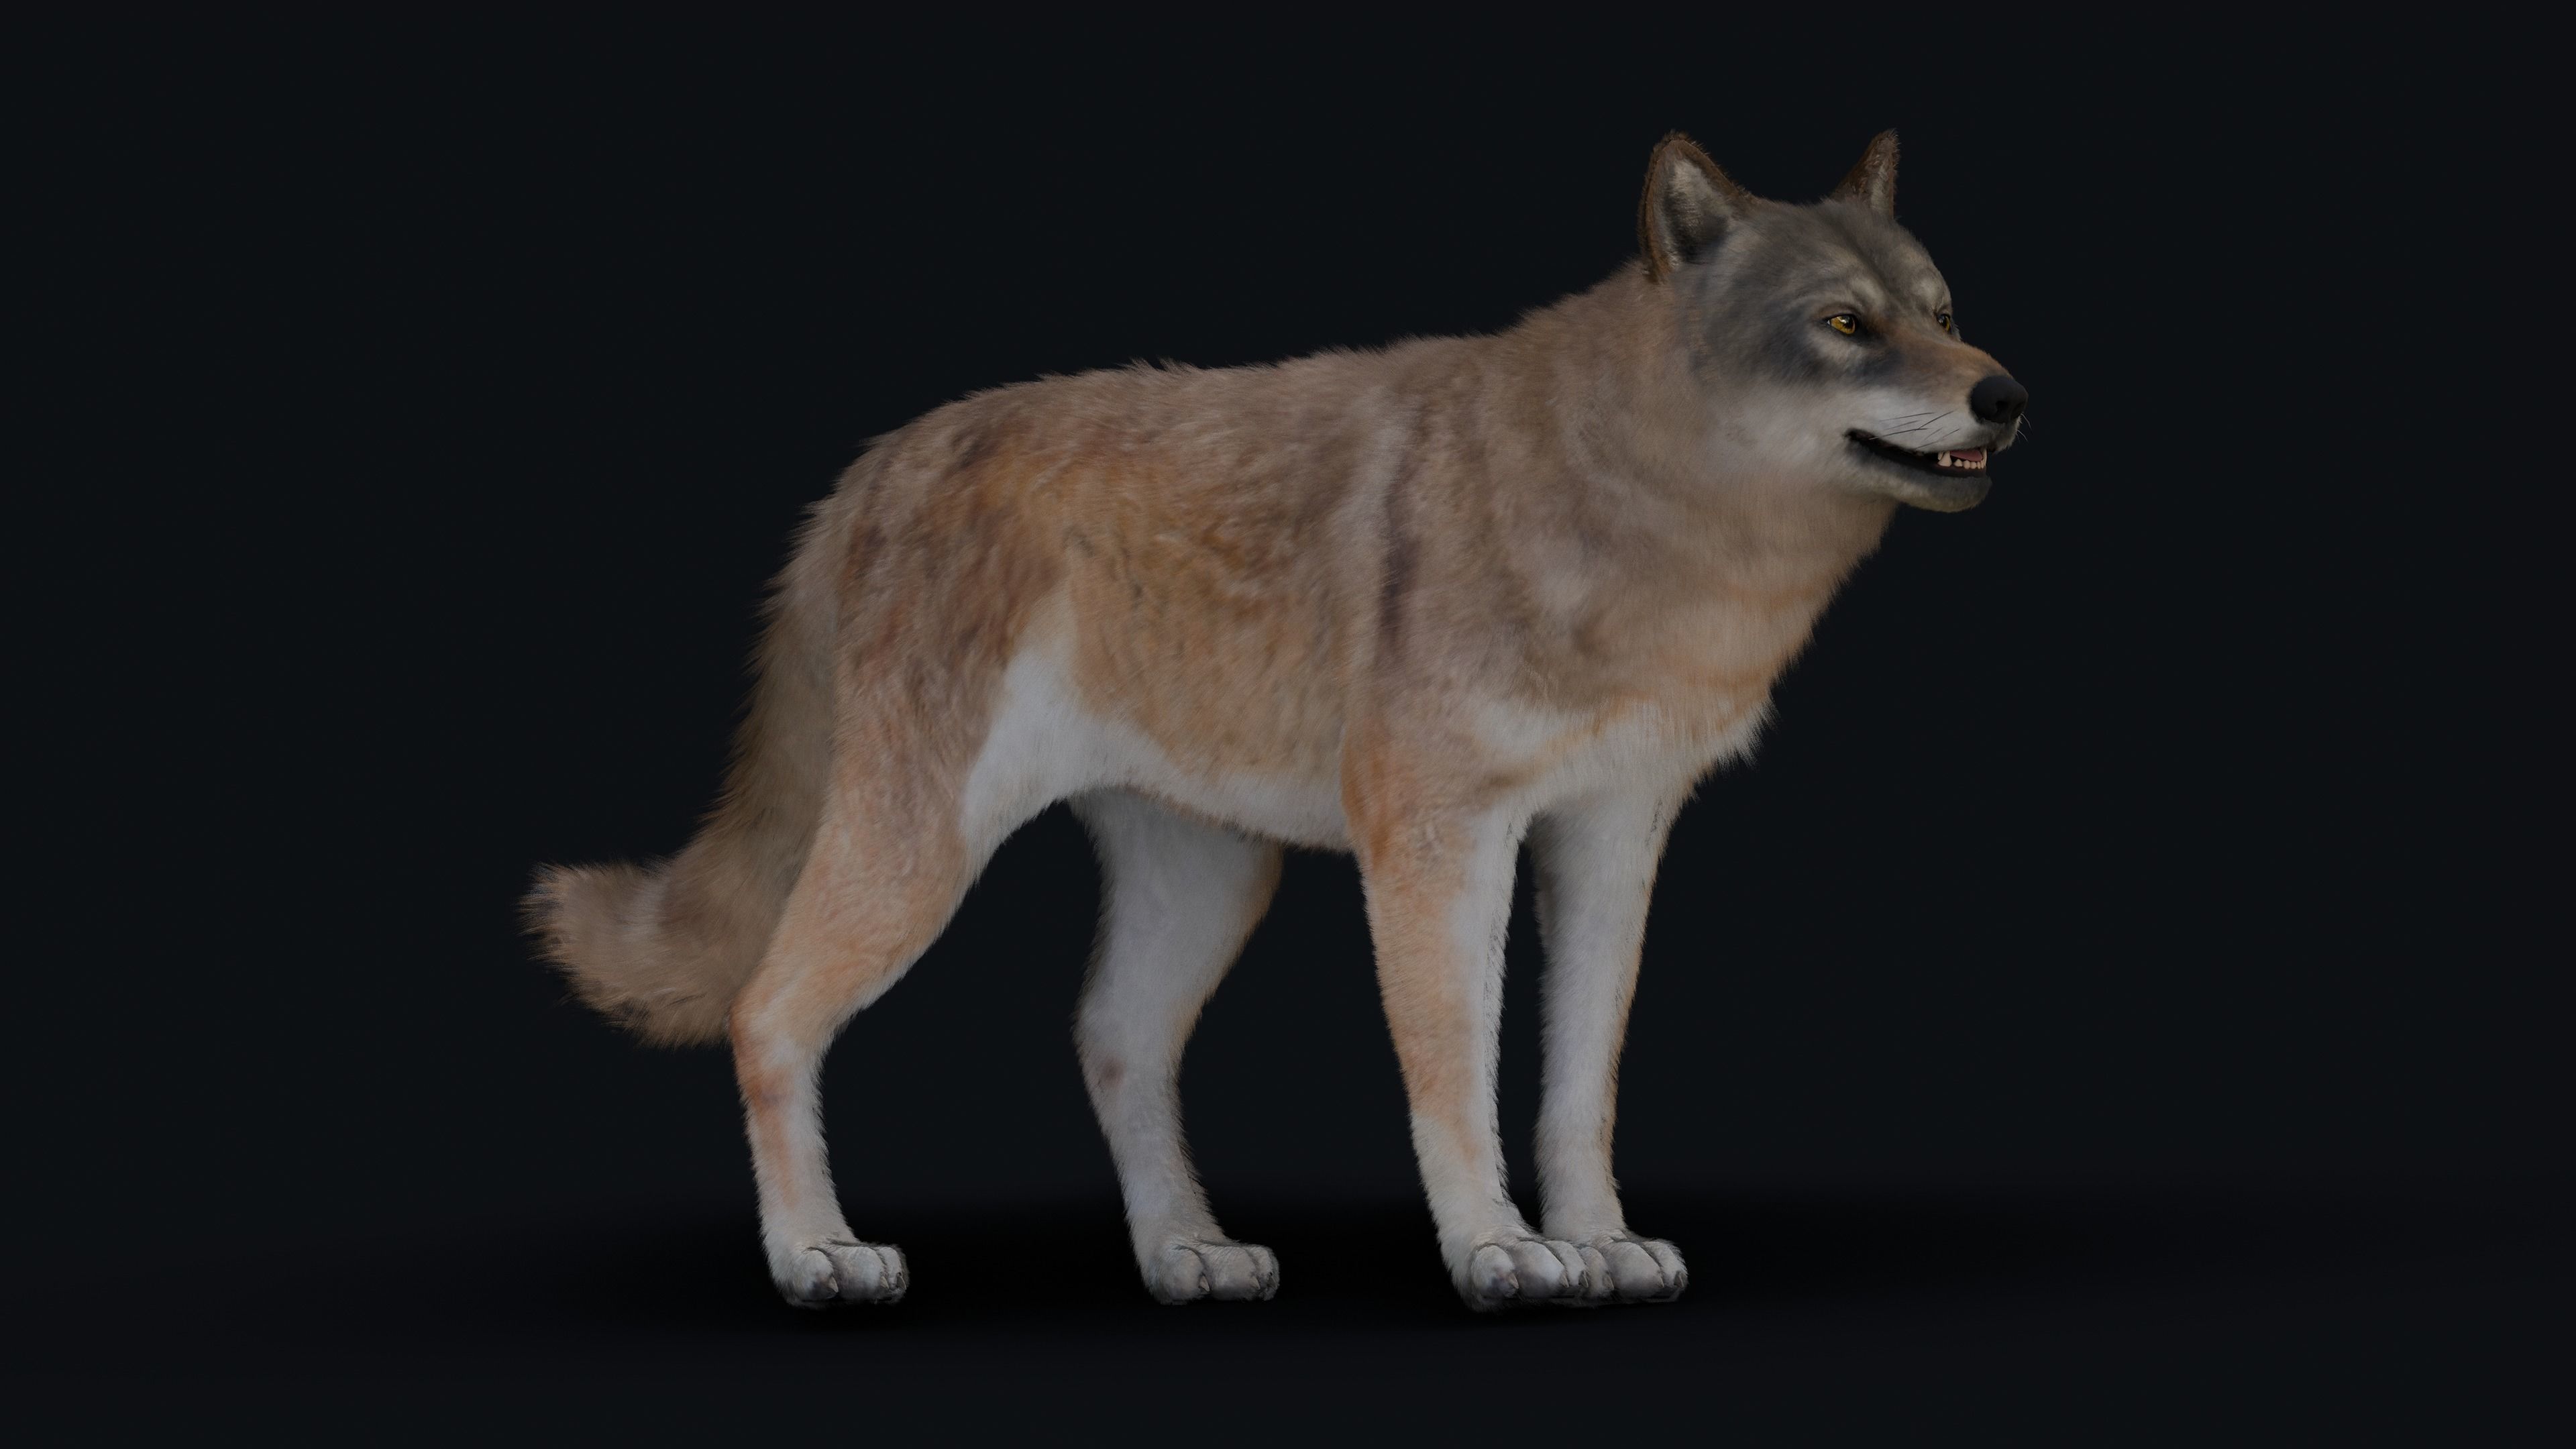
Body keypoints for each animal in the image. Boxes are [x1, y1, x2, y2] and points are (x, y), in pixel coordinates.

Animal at [529, 130, 2026, 1311]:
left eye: (1945, 309)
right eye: (1846, 326)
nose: (2005, 395)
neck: (1635, 513)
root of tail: (874, 464)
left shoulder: (1613, 837)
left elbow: (1579, 1082)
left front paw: (1598, 1245)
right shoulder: (1438, 840)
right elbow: (1456, 1070)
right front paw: (1497, 1253)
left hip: (1207, 885)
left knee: (1110, 1038)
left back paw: (1185, 1253)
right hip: (921, 859)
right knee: (769, 1013)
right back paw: (817, 1257)